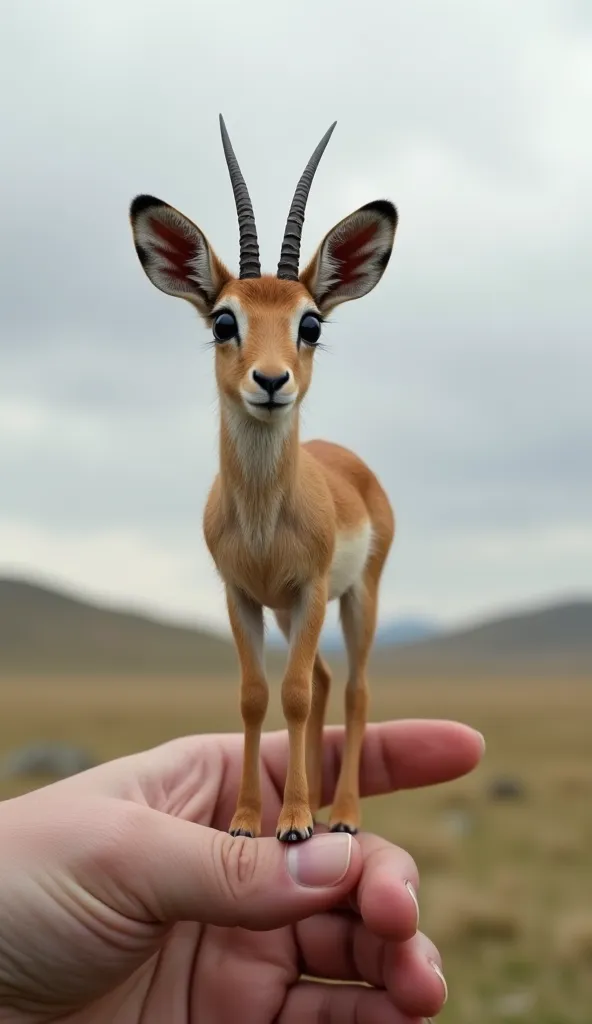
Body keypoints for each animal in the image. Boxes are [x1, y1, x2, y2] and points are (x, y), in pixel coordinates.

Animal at [129, 116, 397, 843]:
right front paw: (250, 819)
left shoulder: (309, 589)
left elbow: (295, 696)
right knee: (329, 680)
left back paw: (344, 814)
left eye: (311, 323)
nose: (271, 381)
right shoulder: (243, 595)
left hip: (357, 596)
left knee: (354, 687)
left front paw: (297, 822)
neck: (260, 520)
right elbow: (255, 699)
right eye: (225, 319)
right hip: (288, 612)